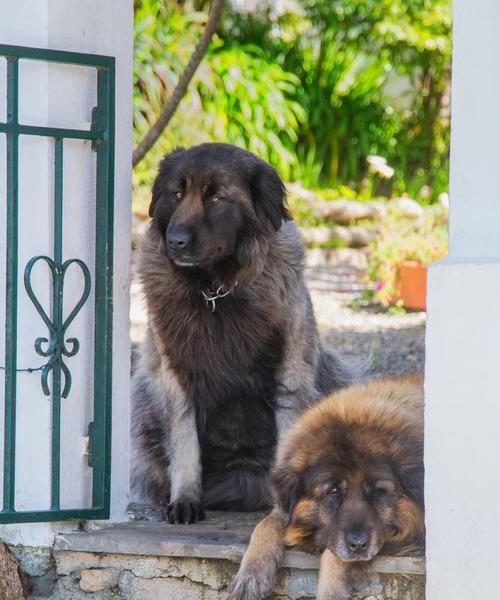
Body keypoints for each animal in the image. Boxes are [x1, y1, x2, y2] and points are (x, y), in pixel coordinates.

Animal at [129, 143, 356, 524]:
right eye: (177, 193)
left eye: (216, 198)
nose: (176, 241)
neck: (216, 291)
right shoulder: (175, 374)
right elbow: (185, 445)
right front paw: (185, 500)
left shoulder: (289, 372)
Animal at [229, 376, 424, 600]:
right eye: (333, 492)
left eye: (377, 492)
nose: (358, 544)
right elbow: (266, 524)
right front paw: (251, 574)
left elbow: (333, 553)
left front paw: (331, 590)